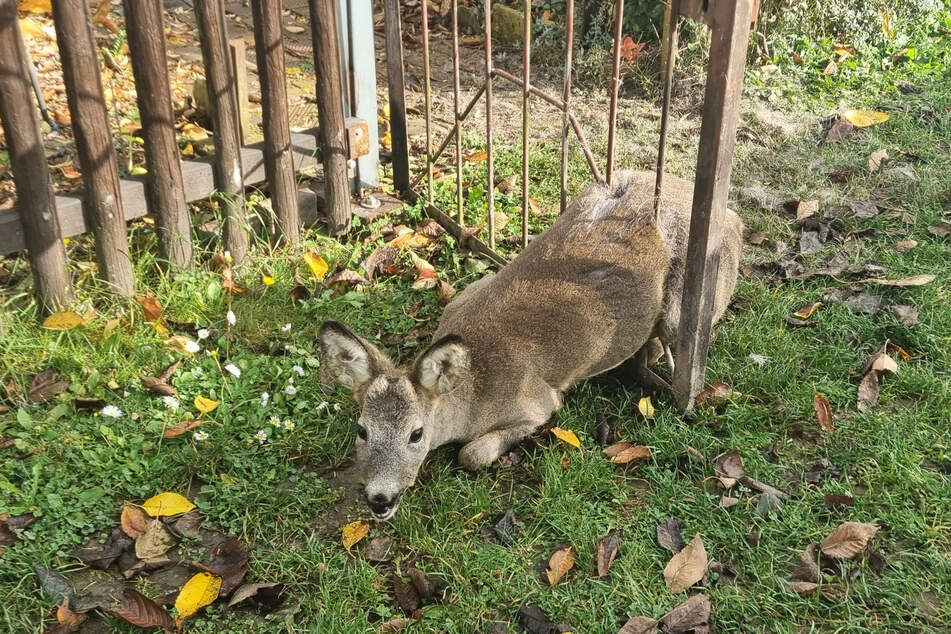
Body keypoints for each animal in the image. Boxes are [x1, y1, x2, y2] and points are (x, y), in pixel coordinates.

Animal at [320, 169, 744, 520]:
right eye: (362, 430)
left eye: (416, 434)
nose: (379, 500)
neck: (473, 393)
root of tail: (734, 216)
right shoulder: (464, 295)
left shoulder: (539, 402)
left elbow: (472, 454)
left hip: (686, 303)